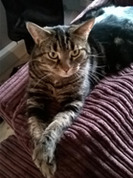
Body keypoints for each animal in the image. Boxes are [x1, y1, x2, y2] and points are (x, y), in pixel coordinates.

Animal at [25, 5, 133, 178]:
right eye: (53, 54)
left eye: (75, 52)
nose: (66, 68)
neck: (56, 81)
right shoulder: (34, 99)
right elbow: (35, 126)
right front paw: (39, 151)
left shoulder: (73, 101)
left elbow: (55, 124)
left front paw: (44, 152)